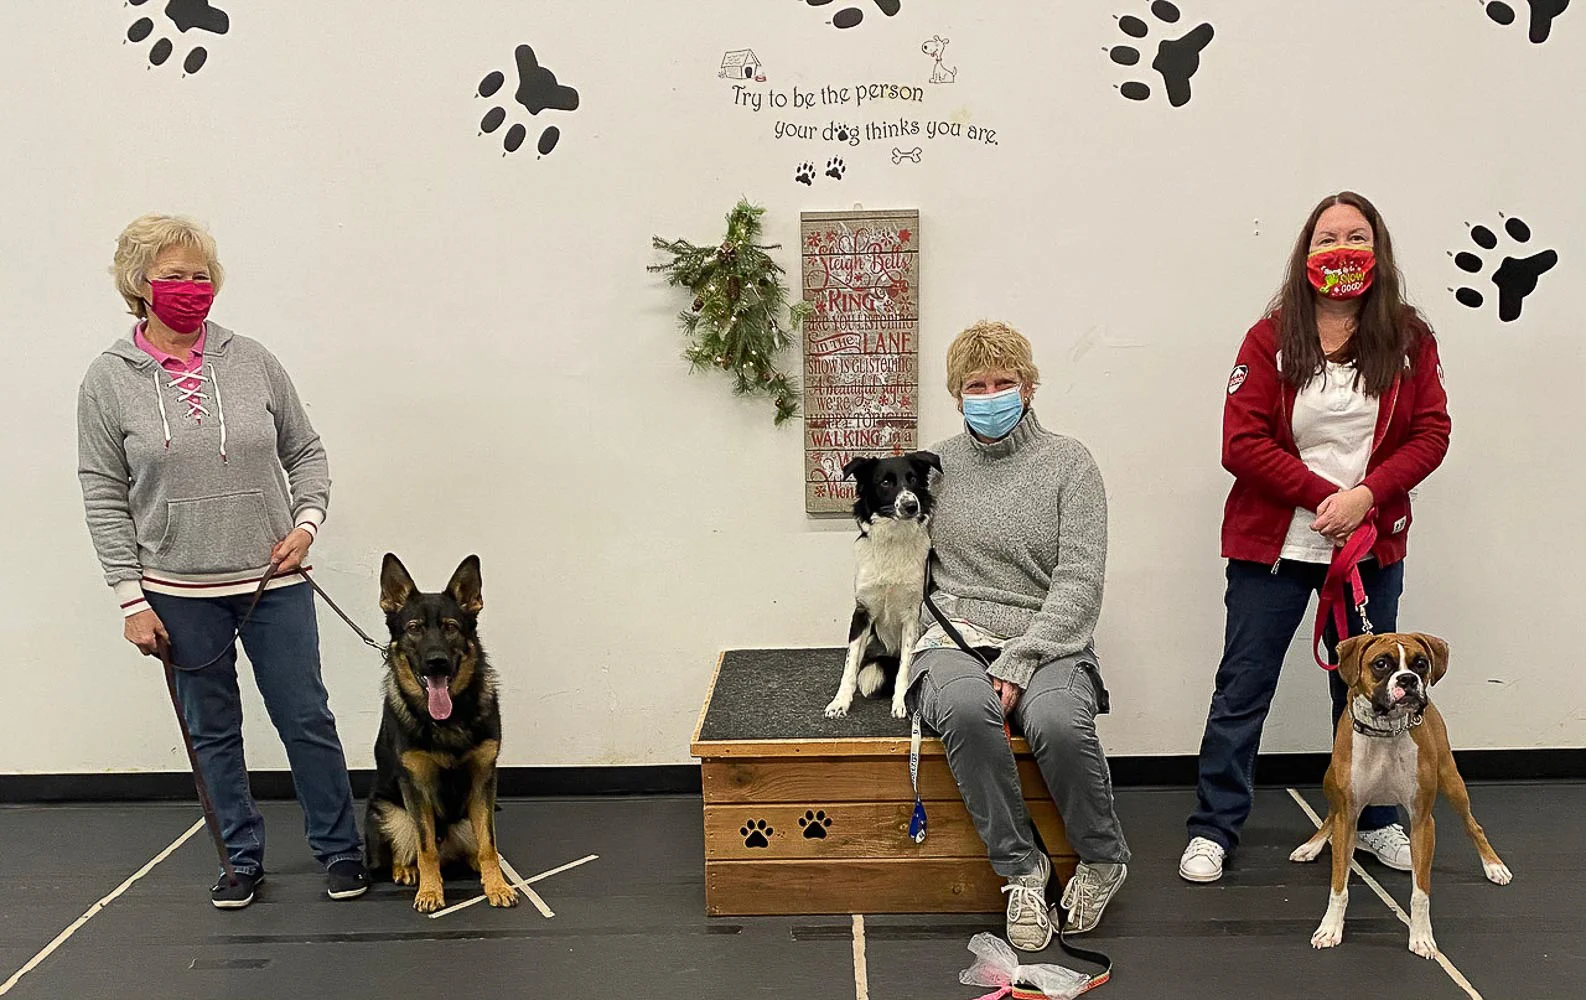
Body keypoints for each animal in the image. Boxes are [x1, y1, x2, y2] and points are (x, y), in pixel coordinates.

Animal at [363, 553, 518, 913]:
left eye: (450, 627)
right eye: (414, 628)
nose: (437, 662)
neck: (447, 720)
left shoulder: (483, 780)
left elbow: (488, 844)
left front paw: (496, 885)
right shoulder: (415, 787)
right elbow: (425, 849)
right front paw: (431, 891)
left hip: (467, 818)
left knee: (474, 847)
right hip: (388, 811)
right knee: (409, 849)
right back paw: (406, 870)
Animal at [824, 451, 940, 720]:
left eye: (913, 479)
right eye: (885, 482)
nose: (911, 506)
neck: (893, 540)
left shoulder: (913, 616)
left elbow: (905, 667)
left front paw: (900, 702)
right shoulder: (862, 612)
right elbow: (850, 663)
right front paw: (840, 701)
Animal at [1289, 632, 1511, 957]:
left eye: (1421, 663)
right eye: (1381, 664)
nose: (1408, 680)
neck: (1384, 733)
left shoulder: (1422, 822)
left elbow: (1421, 893)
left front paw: (1421, 937)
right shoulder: (1347, 813)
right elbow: (1338, 886)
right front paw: (1330, 928)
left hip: (1451, 781)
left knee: (1474, 826)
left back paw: (1494, 866)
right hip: (1330, 783)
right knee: (1329, 815)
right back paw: (1311, 846)